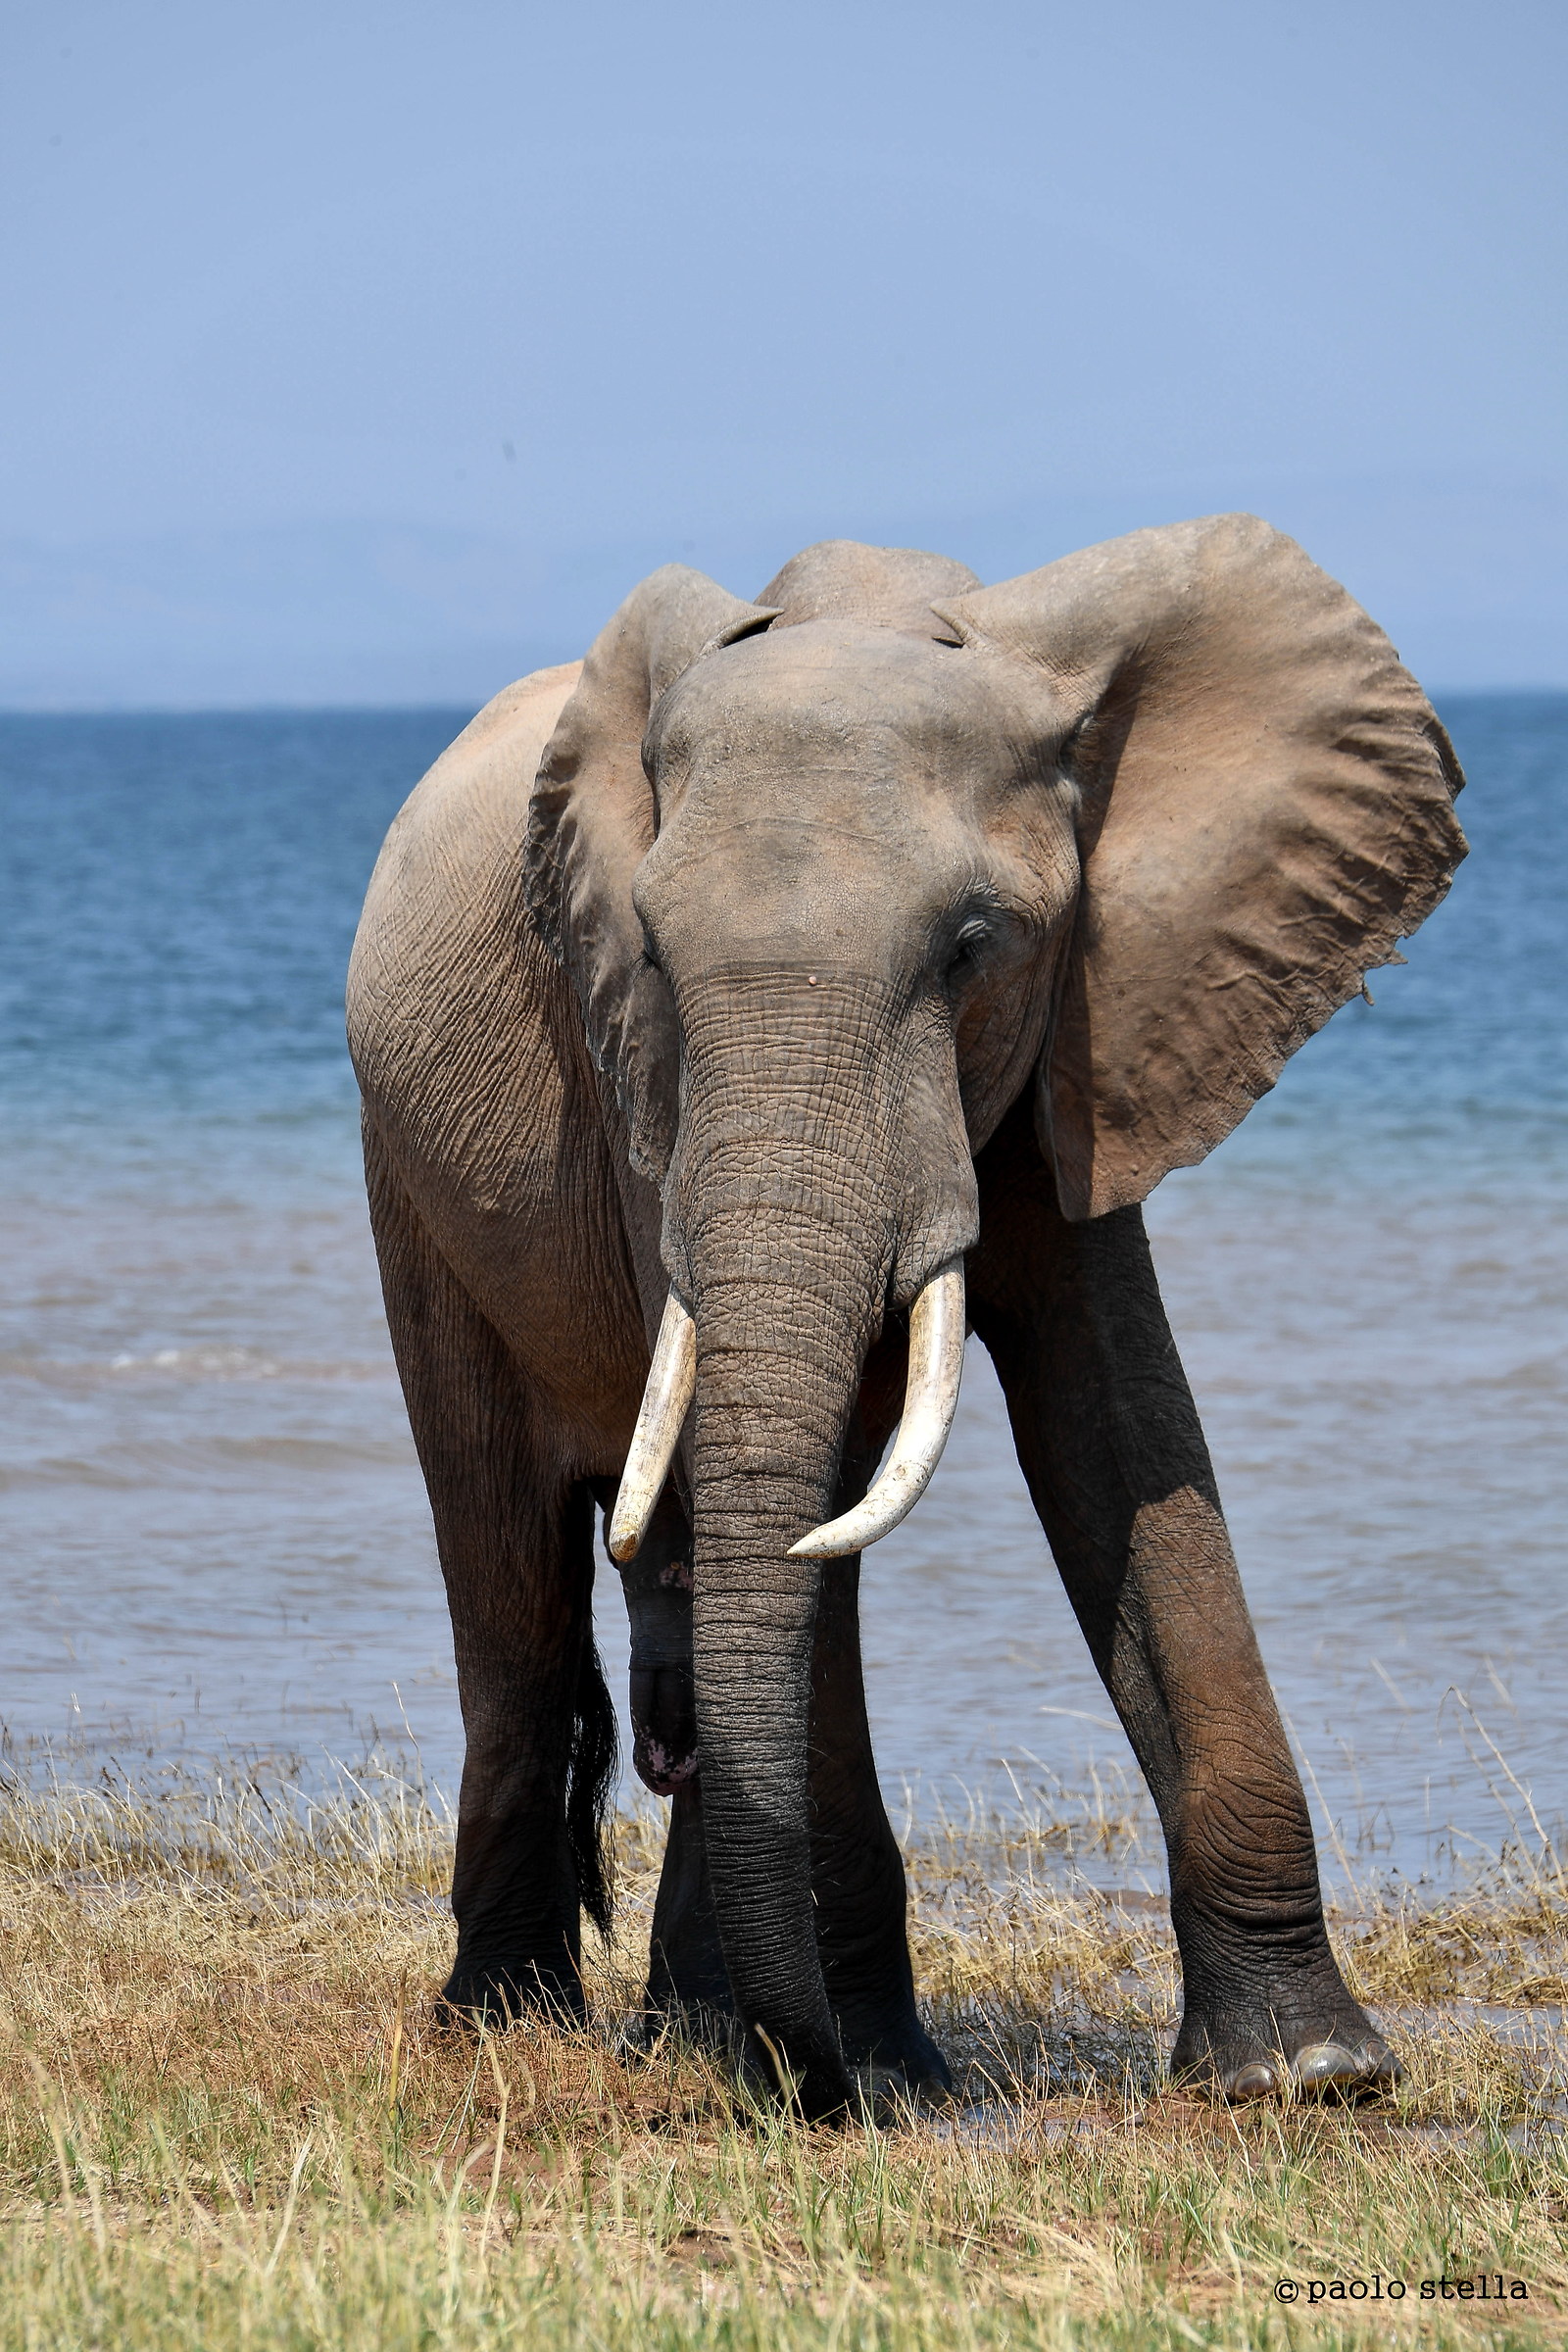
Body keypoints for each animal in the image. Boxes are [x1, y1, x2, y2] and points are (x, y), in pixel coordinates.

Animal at [346, 515, 1465, 2119]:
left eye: (974, 946)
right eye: (654, 955)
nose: (815, 2075)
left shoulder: (1100, 1021)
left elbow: (1121, 1427)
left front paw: (1305, 2075)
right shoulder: (639, 1090)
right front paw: (870, 2075)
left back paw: (686, 2030)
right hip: (411, 1189)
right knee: (512, 1572)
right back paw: (518, 2022)